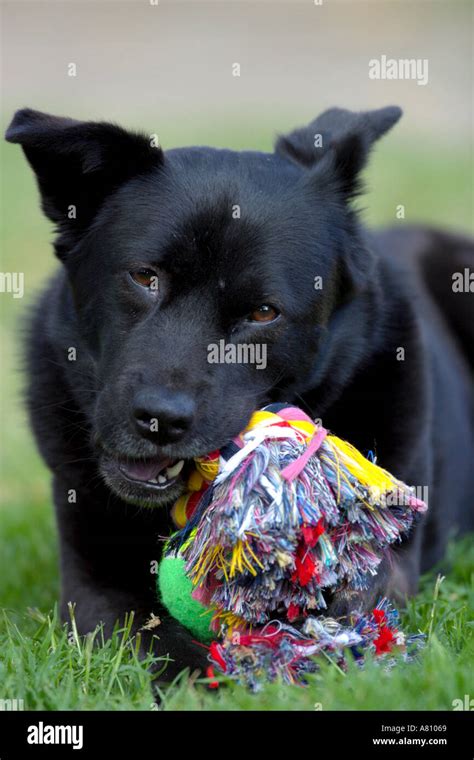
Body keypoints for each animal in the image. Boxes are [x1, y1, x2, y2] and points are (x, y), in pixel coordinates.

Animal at [4, 107, 474, 676]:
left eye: (263, 312)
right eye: (144, 276)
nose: (159, 419)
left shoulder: (388, 566)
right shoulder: (94, 588)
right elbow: (161, 645)